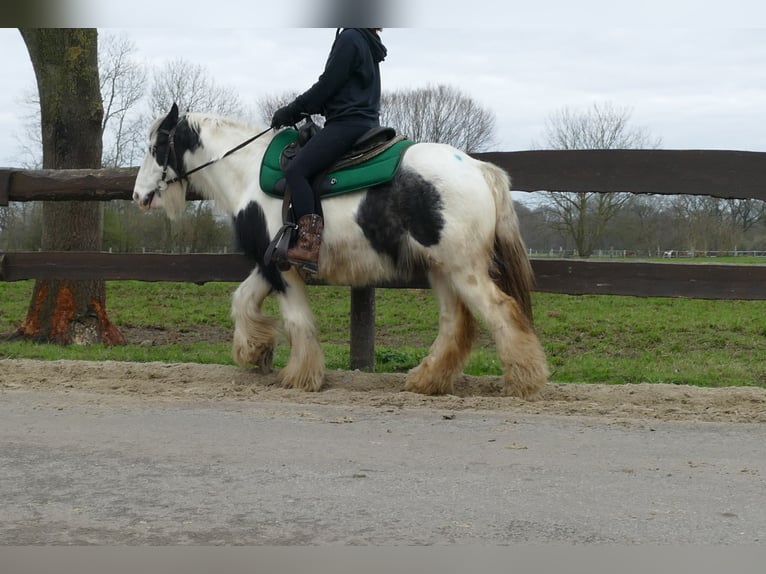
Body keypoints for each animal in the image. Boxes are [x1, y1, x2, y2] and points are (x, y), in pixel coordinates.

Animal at [134, 103, 552, 398]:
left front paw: (299, 375)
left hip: (463, 269)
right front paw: (254, 350)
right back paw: (427, 380)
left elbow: (297, 320)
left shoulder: (282, 268)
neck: (247, 173)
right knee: (455, 324)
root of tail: (478, 169)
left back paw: (524, 381)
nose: (138, 196)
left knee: (501, 312)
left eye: (156, 147)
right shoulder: (271, 263)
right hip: (442, 269)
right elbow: (242, 299)